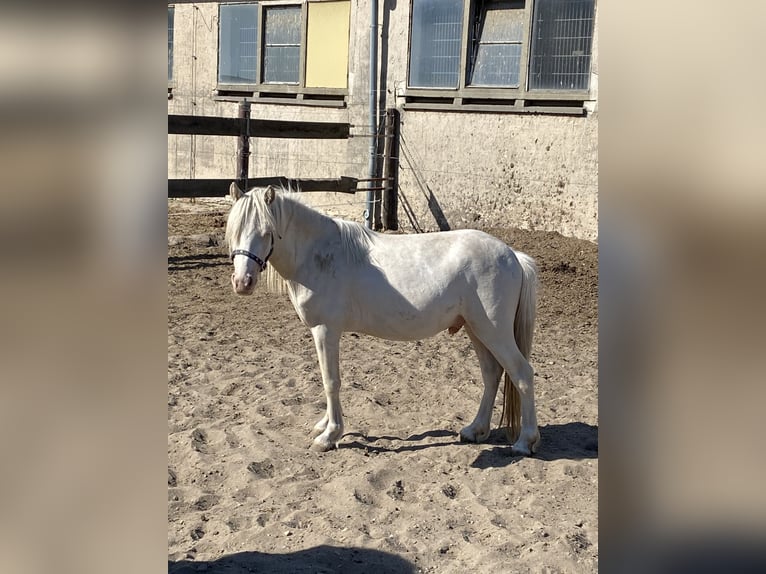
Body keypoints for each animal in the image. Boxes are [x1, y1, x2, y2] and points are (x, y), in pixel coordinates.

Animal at [225, 183, 540, 455]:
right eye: (234, 231)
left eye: (267, 231)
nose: (242, 283)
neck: (320, 254)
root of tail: (513, 255)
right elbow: (327, 379)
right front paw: (323, 425)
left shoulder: (326, 330)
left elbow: (331, 381)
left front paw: (330, 435)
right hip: (476, 329)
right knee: (492, 374)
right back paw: (475, 430)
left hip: (494, 332)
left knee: (522, 374)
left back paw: (525, 441)